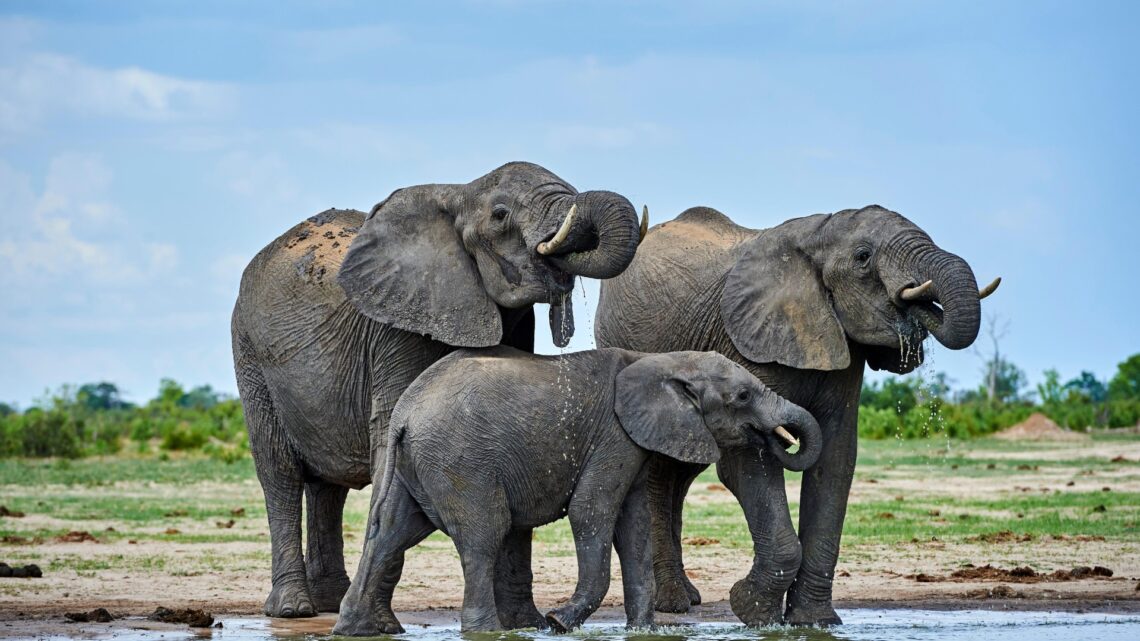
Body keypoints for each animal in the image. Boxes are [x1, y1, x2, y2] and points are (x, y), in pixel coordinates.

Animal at [231, 162, 645, 619]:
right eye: (500, 215)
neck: (459, 191)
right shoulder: (395, 324)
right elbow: (387, 432)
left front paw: (525, 622)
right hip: (250, 352)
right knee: (279, 473)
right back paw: (293, 609)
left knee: (326, 487)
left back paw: (329, 603)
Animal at [332, 346, 822, 635]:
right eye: (742, 397)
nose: (781, 440)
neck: (660, 360)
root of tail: (405, 413)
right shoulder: (614, 436)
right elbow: (592, 512)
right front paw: (559, 622)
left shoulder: (634, 442)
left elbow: (634, 525)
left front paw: (644, 632)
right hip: (459, 461)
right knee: (484, 536)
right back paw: (487, 631)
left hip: (416, 464)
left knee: (390, 533)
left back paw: (354, 628)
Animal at [595, 205, 1000, 626]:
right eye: (863, 257)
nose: (920, 304)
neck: (817, 235)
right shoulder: (744, 342)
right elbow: (748, 460)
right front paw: (753, 610)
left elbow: (836, 460)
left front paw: (814, 621)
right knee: (661, 471)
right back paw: (673, 603)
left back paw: (688, 598)